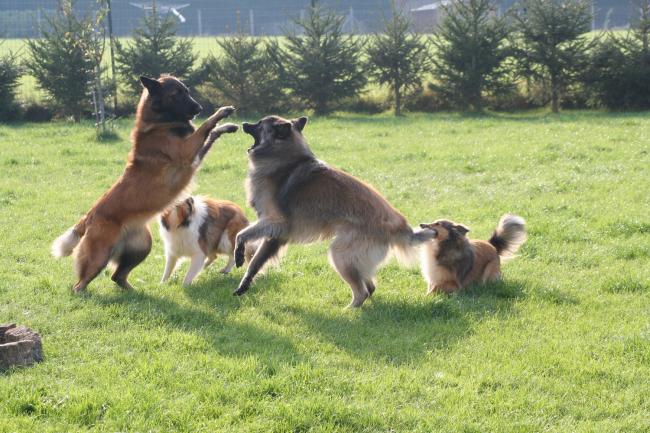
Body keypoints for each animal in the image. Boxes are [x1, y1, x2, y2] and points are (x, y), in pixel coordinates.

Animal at [51, 76, 238, 294]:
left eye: (187, 91)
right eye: (176, 94)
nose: (199, 107)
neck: (159, 124)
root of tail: (89, 216)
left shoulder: (194, 156)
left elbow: (211, 133)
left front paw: (228, 126)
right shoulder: (186, 150)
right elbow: (205, 126)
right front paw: (222, 112)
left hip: (142, 247)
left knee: (117, 276)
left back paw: (136, 292)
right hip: (99, 256)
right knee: (80, 284)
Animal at [230, 115, 432, 308]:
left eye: (260, 123)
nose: (244, 123)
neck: (284, 159)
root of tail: (400, 227)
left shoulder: (275, 223)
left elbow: (242, 235)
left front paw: (238, 254)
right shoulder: (275, 236)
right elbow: (255, 262)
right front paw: (244, 284)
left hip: (340, 255)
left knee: (362, 292)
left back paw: (348, 310)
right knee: (370, 286)